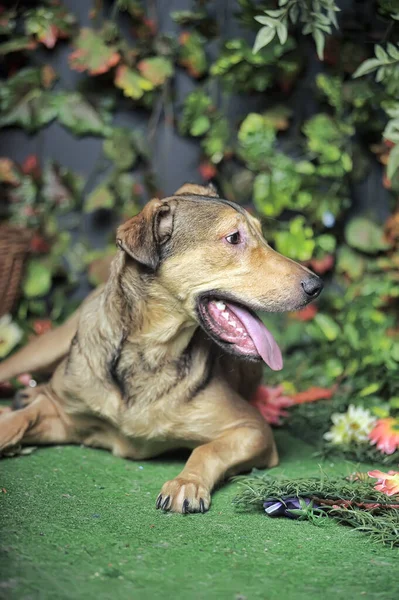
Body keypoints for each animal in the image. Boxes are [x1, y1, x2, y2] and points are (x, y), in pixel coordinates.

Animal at [0, 185, 322, 512]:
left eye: (262, 235)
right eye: (234, 238)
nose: (316, 286)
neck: (150, 353)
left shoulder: (254, 430)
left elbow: (207, 450)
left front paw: (186, 482)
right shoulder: (65, 415)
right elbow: (23, 417)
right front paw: (10, 422)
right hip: (43, 350)